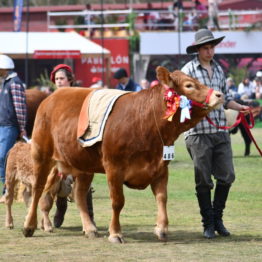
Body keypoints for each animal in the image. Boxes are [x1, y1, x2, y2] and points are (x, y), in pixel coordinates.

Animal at [22, 67, 223, 244]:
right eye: (189, 85)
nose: (219, 94)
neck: (143, 122)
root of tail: (51, 97)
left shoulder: (160, 168)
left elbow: (162, 198)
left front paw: (161, 229)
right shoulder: (114, 168)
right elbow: (118, 202)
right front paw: (115, 234)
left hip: (84, 165)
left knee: (78, 194)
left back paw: (89, 228)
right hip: (41, 155)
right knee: (38, 189)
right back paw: (29, 226)